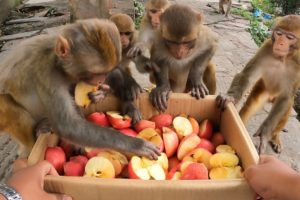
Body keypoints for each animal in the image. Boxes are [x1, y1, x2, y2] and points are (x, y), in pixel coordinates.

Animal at [0, 18, 161, 159]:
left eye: (103, 73)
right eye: (95, 73)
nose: (101, 79)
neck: (58, 62)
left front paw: (125, 93)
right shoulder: (47, 72)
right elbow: (68, 125)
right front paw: (136, 145)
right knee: (7, 107)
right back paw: (37, 134)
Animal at [216, 14, 300, 154]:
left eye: (289, 37)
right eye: (279, 33)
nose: (280, 42)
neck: (283, 58)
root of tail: (271, 96)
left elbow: (286, 96)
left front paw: (264, 134)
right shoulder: (266, 48)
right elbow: (247, 75)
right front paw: (230, 97)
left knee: (287, 108)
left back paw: (275, 137)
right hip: (263, 86)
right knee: (252, 103)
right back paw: (240, 123)